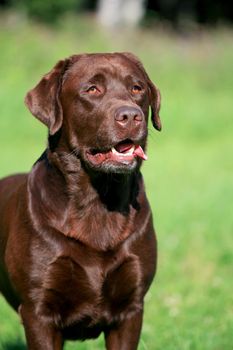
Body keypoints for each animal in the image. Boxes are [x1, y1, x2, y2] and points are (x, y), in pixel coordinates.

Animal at [0, 52, 160, 350]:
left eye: (137, 88)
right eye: (92, 89)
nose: (131, 115)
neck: (99, 200)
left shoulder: (131, 310)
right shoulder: (38, 311)